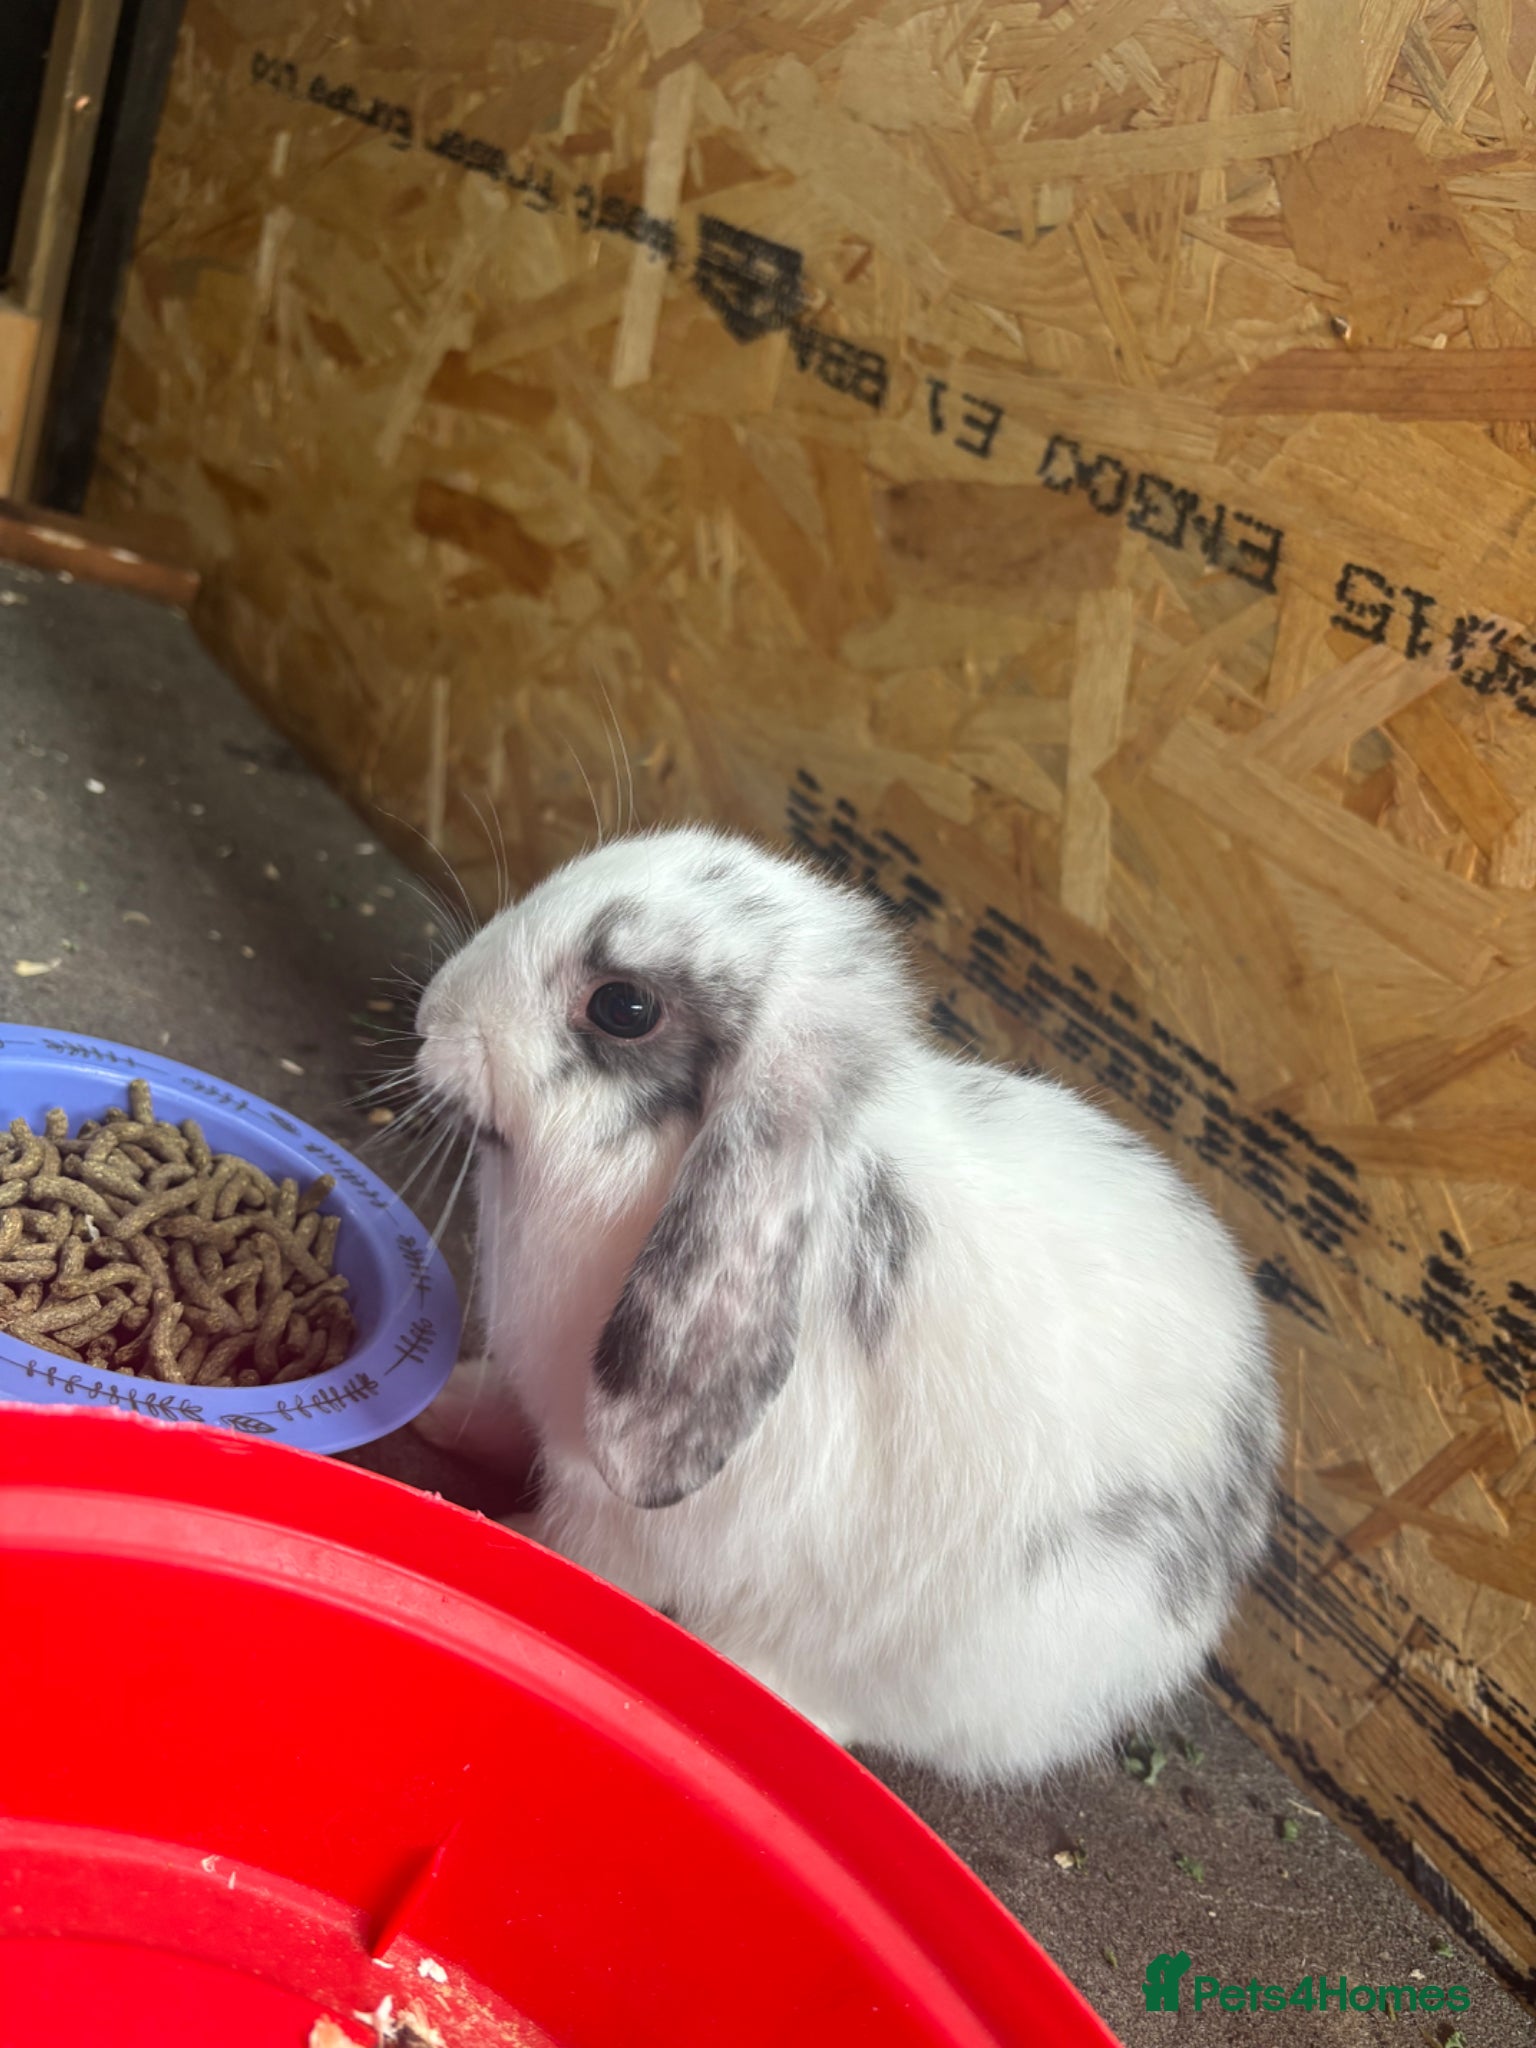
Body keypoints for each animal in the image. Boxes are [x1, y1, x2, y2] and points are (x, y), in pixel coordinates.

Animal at [412, 824, 1281, 1782]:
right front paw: (446, 1413)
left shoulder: (617, 1513)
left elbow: (572, 1555)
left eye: (624, 1008)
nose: (431, 1019)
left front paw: (498, 1537)